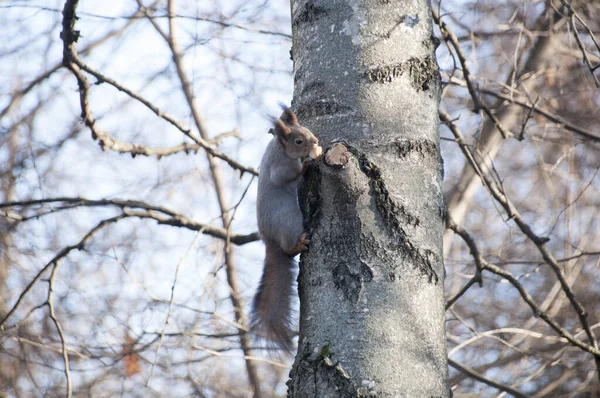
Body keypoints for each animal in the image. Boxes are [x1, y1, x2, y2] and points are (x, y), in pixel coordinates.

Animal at [250, 104, 322, 352]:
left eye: (309, 130)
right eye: (299, 141)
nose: (316, 140)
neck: (278, 148)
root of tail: (270, 242)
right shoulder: (279, 167)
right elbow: (285, 177)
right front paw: (306, 164)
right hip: (290, 222)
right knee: (289, 248)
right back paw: (299, 244)